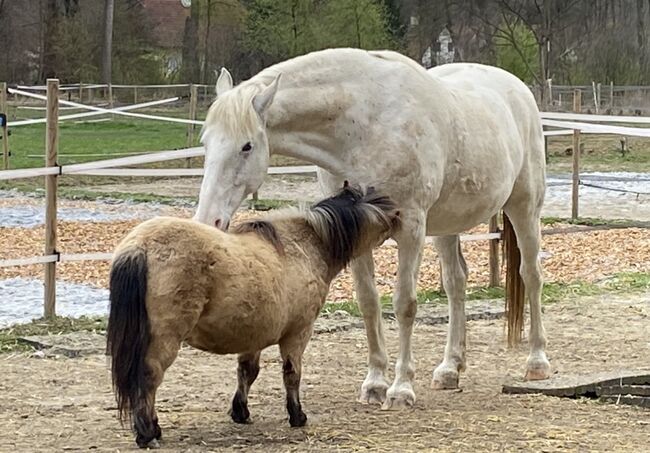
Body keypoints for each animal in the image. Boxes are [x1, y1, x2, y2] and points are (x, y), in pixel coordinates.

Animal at [191, 47, 548, 408]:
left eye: (247, 145)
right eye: (206, 141)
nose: (210, 220)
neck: (366, 125)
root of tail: (517, 89)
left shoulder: (411, 228)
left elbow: (404, 304)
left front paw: (401, 388)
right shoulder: (359, 230)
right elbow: (368, 302)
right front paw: (375, 383)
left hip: (524, 208)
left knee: (530, 275)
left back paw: (536, 363)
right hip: (447, 225)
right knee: (455, 283)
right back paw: (450, 369)